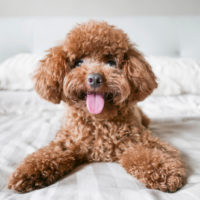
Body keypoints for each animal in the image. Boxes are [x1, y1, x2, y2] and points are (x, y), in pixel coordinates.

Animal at [8, 20, 186, 192]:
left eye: (111, 62)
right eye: (78, 62)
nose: (94, 78)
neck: (98, 121)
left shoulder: (140, 140)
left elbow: (151, 154)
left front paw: (165, 172)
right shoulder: (66, 144)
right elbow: (46, 155)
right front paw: (27, 172)